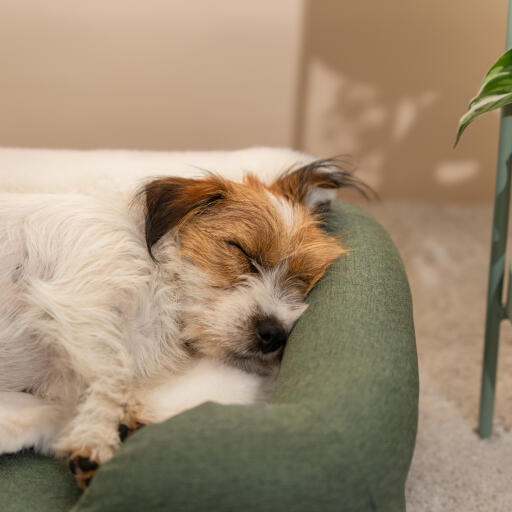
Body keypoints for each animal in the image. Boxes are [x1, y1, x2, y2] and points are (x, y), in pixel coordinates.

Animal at [0, 156, 366, 488]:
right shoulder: (80, 298)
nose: (273, 333)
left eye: (303, 282)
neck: (162, 286)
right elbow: (115, 373)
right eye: (242, 252)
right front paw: (95, 436)